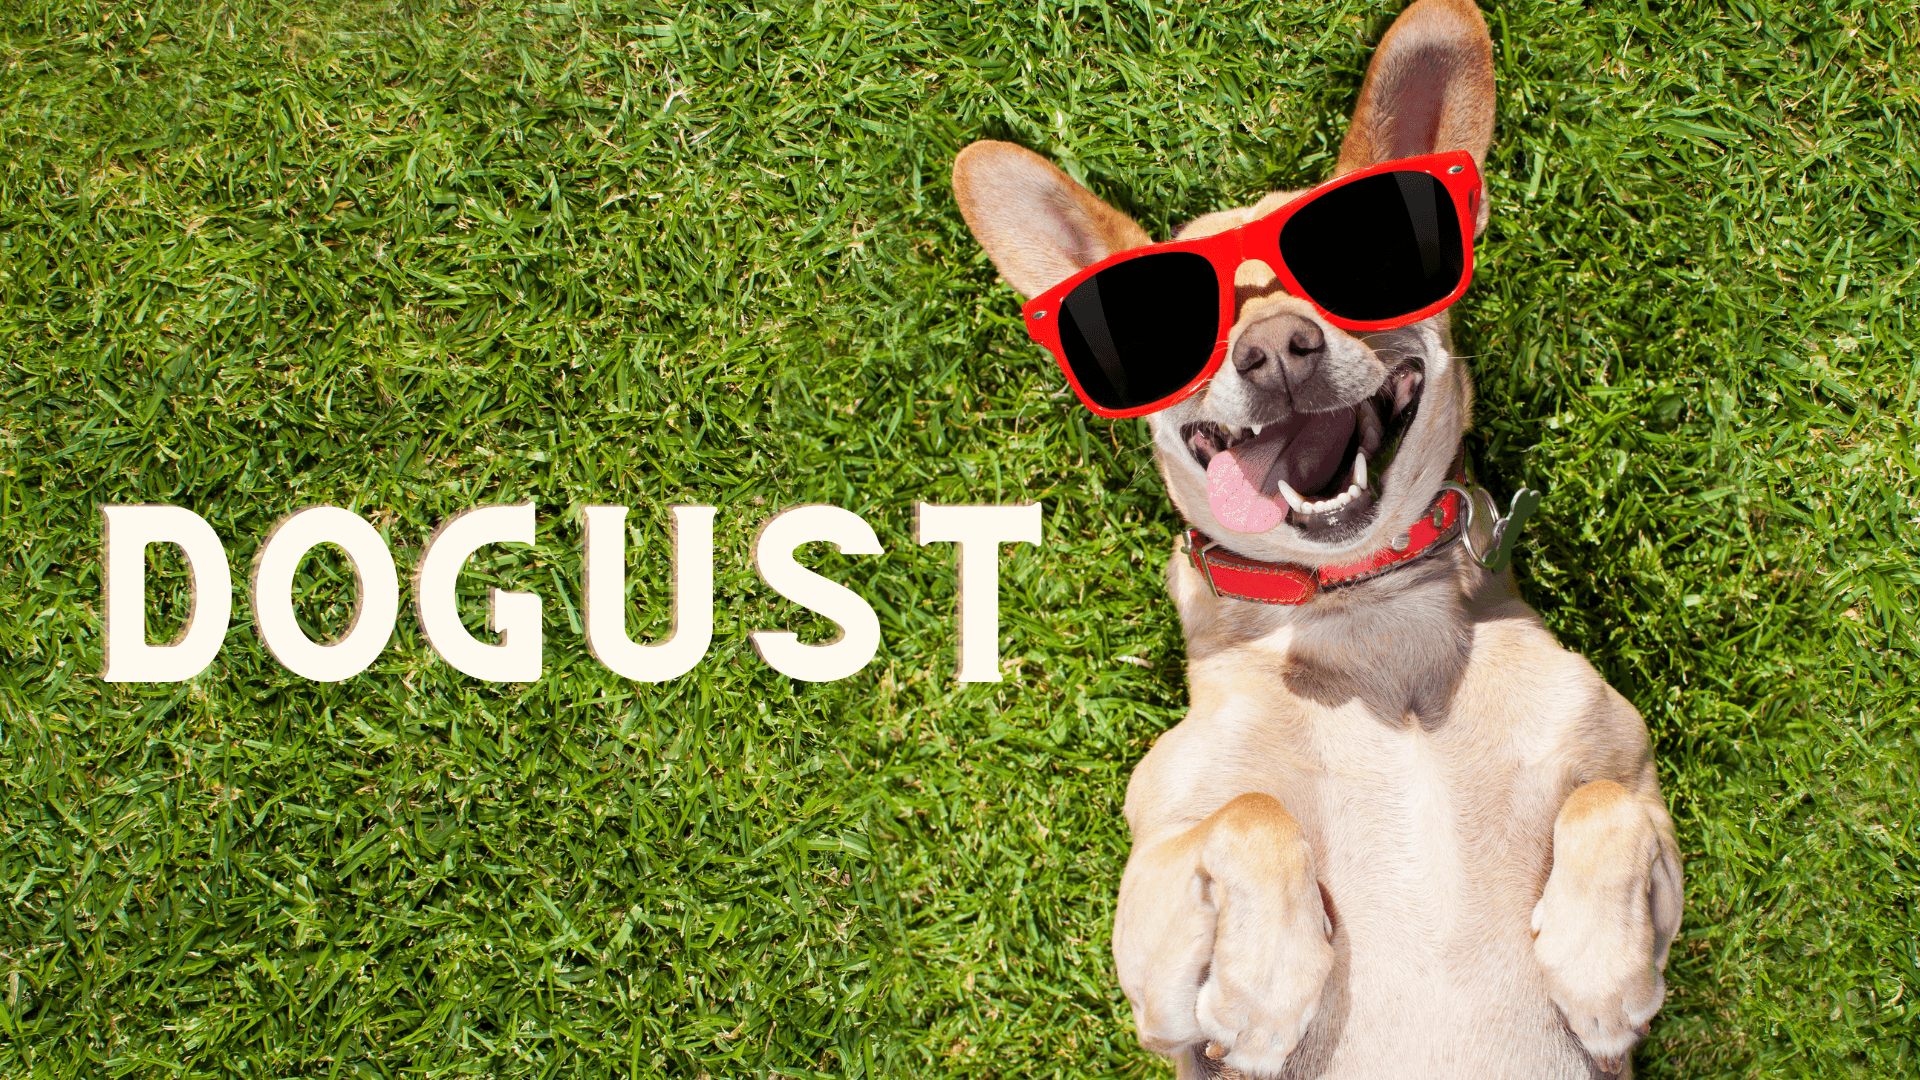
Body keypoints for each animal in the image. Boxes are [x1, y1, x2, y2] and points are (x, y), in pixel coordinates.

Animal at [952, 2, 1689, 1076]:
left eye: (1359, 264)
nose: (1275, 349)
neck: (1362, 609)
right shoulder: (1157, 956)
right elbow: (1250, 815)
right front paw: (1268, 985)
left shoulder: (1636, 787)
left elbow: (1609, 808)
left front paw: (1601, 971)